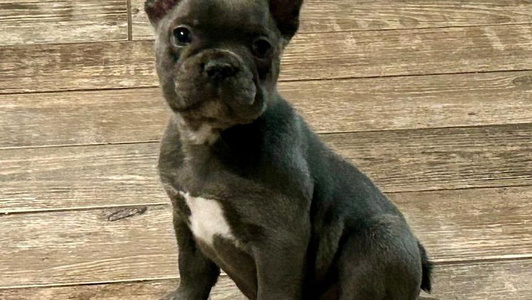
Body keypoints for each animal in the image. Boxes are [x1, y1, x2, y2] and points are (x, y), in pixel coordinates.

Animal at [144, 0, 432, 300]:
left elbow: (274, 288)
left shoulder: (279, 242)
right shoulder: (183, 217)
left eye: (262, 47)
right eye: (181, 35)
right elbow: (192, 268)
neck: (213, 136)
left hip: (381, 241)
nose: (220, 65)